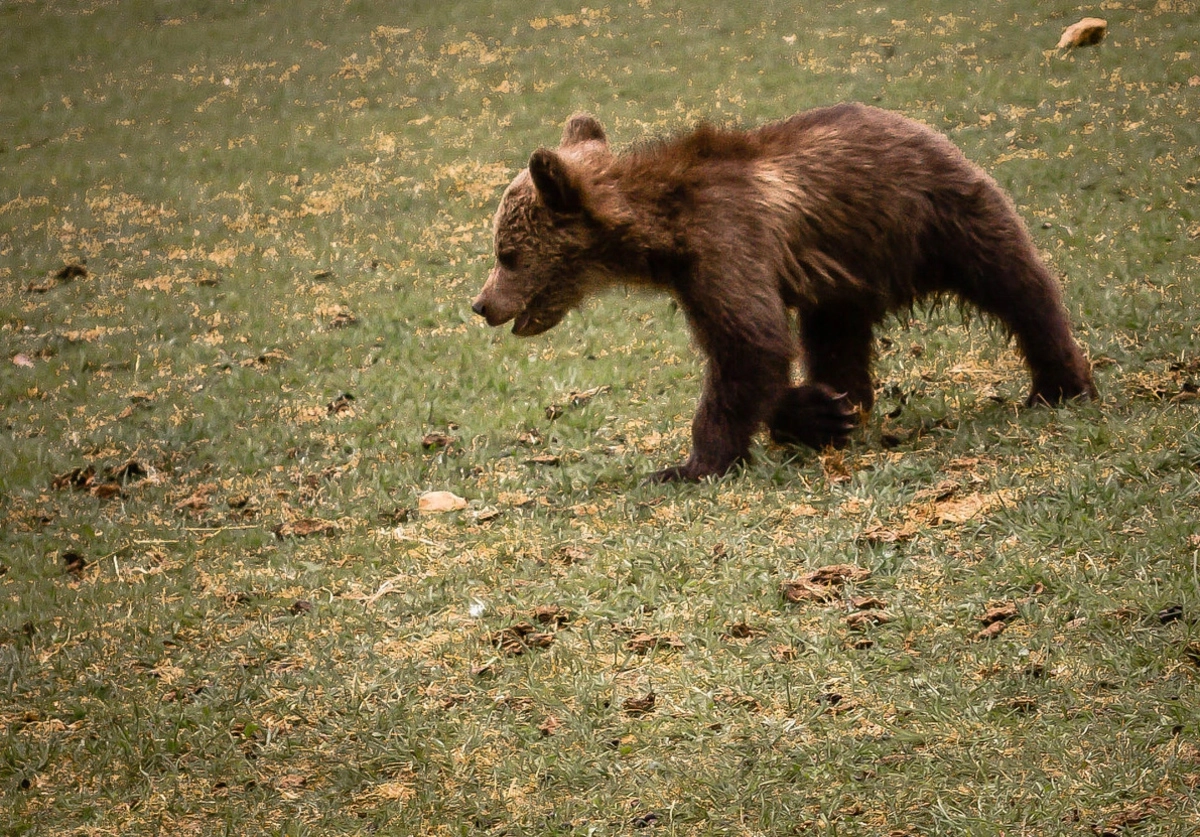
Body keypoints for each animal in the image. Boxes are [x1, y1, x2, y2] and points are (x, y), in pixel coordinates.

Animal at [468, 103, 1099, 479]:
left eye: (507, 254)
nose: (482, 304)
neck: (662, 233)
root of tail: (919, 125)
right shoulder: (698, 278)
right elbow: (756, 355)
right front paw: (819, 412)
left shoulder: (726, 244)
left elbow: (751, 345)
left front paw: (690, 464)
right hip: (846, 274)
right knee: (836, 340)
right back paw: (848, 400)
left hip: (938, 218)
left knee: (1017, 284)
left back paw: (1059, 384)